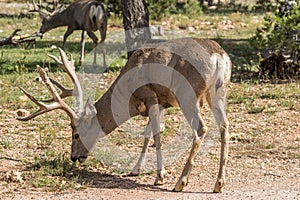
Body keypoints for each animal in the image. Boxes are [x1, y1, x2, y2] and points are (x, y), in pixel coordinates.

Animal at [17, 37, 232, 192]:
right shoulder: (160, 102)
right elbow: (148, 134)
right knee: (224, 126)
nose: (74, 157)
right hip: (218, 93)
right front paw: (136, 169)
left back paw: (180, 182)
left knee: (201, 129)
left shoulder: (150, 95)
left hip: (187, 93)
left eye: (76, 133)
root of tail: (218, 56)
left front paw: (159, 176)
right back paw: (218, 184)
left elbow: (156, 134)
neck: (128, 95)